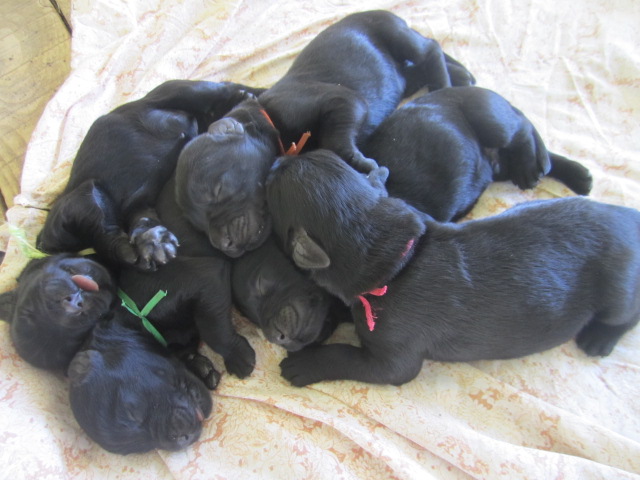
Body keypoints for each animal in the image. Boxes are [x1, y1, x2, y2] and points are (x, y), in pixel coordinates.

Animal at [175, 10, 475, 257]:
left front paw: (360, 164)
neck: (268, 117)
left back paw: (445, 84)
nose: (223, 245)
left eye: (217, 190)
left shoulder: (343, 101)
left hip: (390, 30)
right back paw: (461, 74)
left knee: (429, 48)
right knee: (422, 63)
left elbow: (335, 142)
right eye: (199, 226)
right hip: (401, 70)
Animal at [266, 150, 640, 386]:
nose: (278, 158)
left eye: (274, 182)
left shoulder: (394, 357)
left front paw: (304, 364)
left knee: (626, 314)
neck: (399, 259)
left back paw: (599, 338)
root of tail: (629, 216)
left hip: (619, 287)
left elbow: (349, 355)